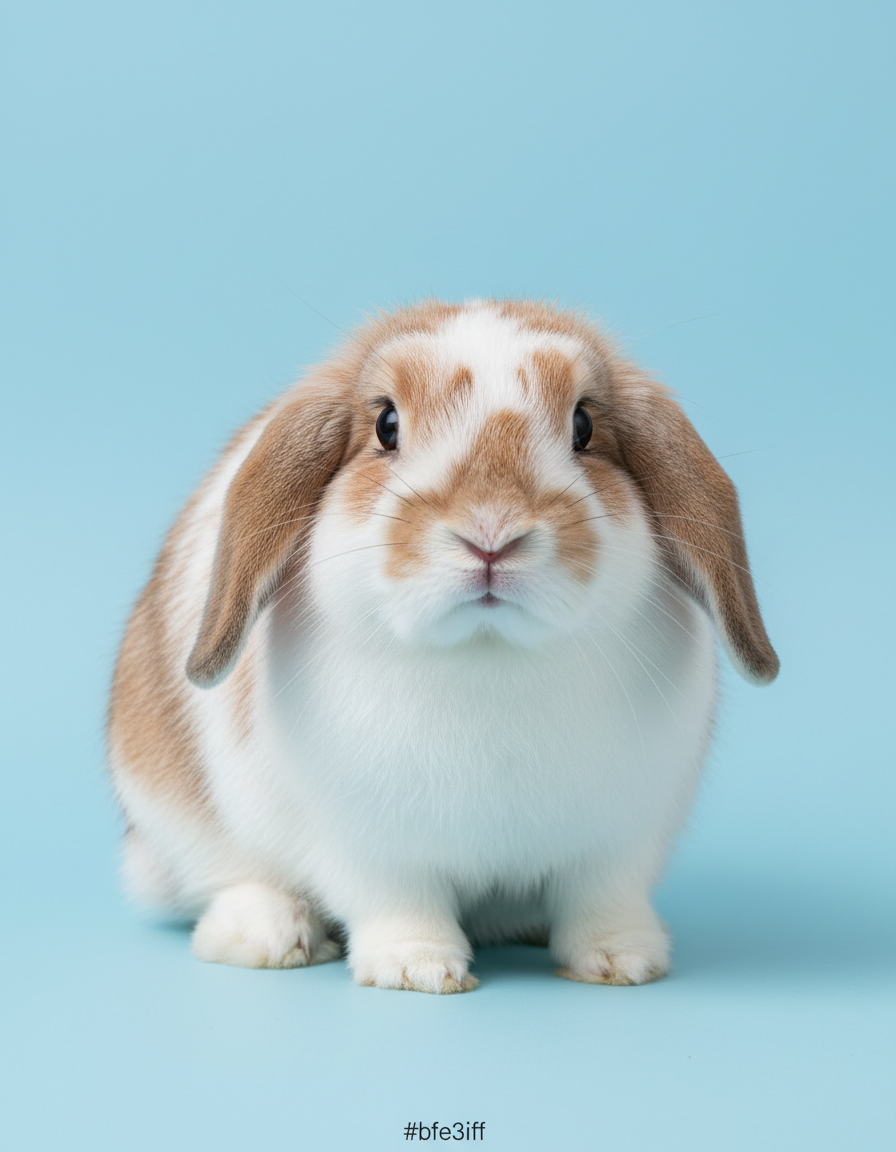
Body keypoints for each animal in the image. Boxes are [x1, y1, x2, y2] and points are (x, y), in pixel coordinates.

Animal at [108, 298, 778, 993]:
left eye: (585, 425)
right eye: (386, 424)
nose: (491, 532)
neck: (489, 655)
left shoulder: (621, 839)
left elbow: (603, 899)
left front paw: (624, 959)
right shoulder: (370, 846)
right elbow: (398, 902)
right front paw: (416, 968)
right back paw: (270, 934)